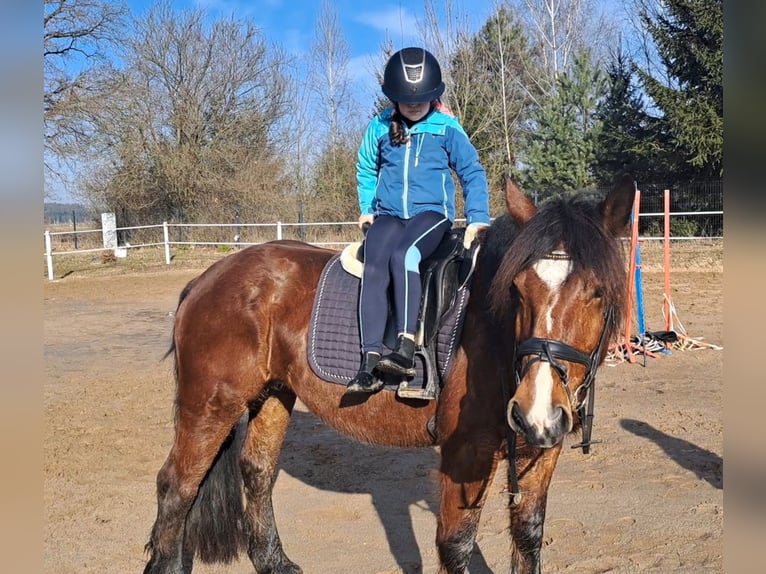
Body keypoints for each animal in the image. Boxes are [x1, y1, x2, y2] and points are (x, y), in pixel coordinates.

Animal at [144, 178, 636, 572]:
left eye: (597, 291)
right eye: (517, 288)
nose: (535, 411)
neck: (493, 336)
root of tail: (208, 278)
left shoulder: (540, 452)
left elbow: (528, 538)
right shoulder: (465, 455)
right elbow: (456, 546)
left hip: (272, 395)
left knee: (257, 472)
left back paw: (275, 562)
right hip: (211, 405)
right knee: (177, 486)